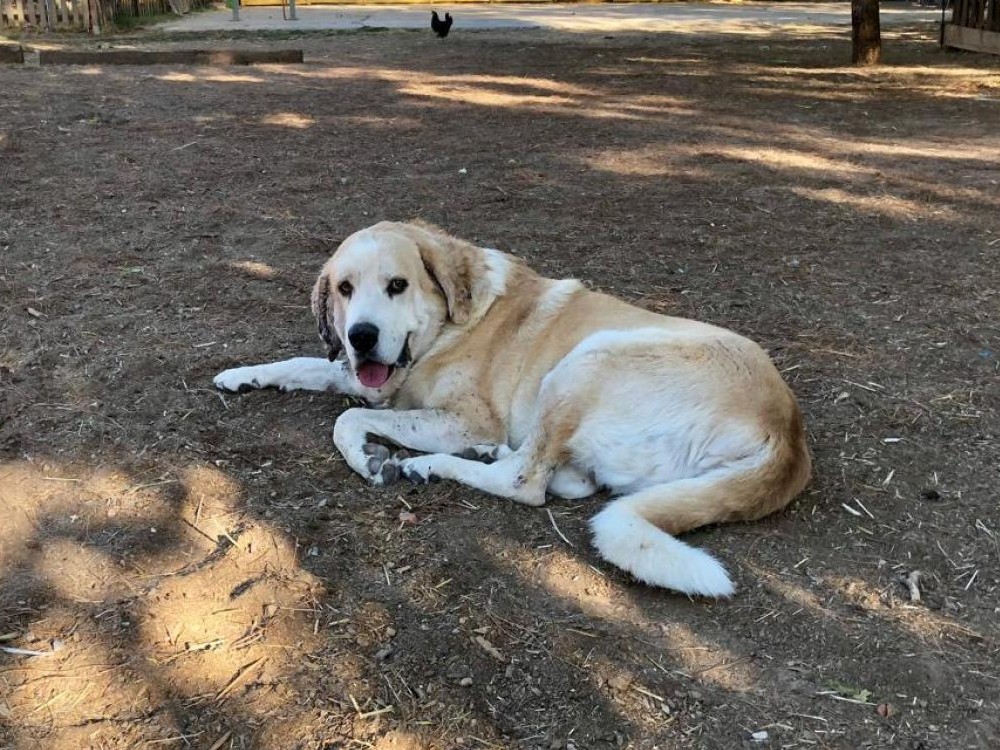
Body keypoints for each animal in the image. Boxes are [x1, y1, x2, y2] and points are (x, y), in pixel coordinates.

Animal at [214, 221, 810, 597]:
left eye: (397, 285)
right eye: (343, 288)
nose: (360, 336)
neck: (450, 323)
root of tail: (787, 436)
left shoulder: (460, 415)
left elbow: (350, 417)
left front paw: (368, 458)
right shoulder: (372, 378)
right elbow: (305, 366)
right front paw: (240, 376)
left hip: (586, 359)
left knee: (526, 483)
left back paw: (429, 464)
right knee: (565, 479)